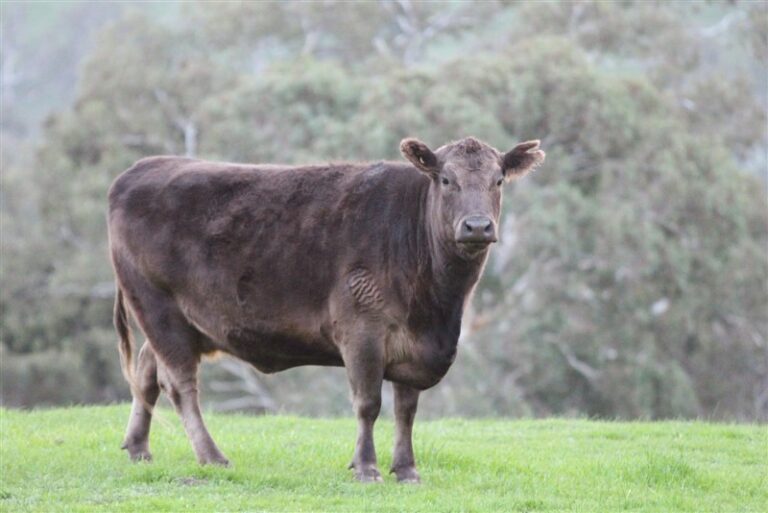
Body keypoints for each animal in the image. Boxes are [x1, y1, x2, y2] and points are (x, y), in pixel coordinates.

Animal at [108, 136, 544, 483]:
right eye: (446, 180)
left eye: (498, 180)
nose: (477, 226)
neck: (437, 306)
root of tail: (143, 167)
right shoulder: (361, 331)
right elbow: (368, 404)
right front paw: (366, 467)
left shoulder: (413, 344)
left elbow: (406, 410)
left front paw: (406, 469)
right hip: (158, 308)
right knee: (180, 385)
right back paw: (212, 457)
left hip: (180, 321)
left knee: (145, 371)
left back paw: (138, 448)